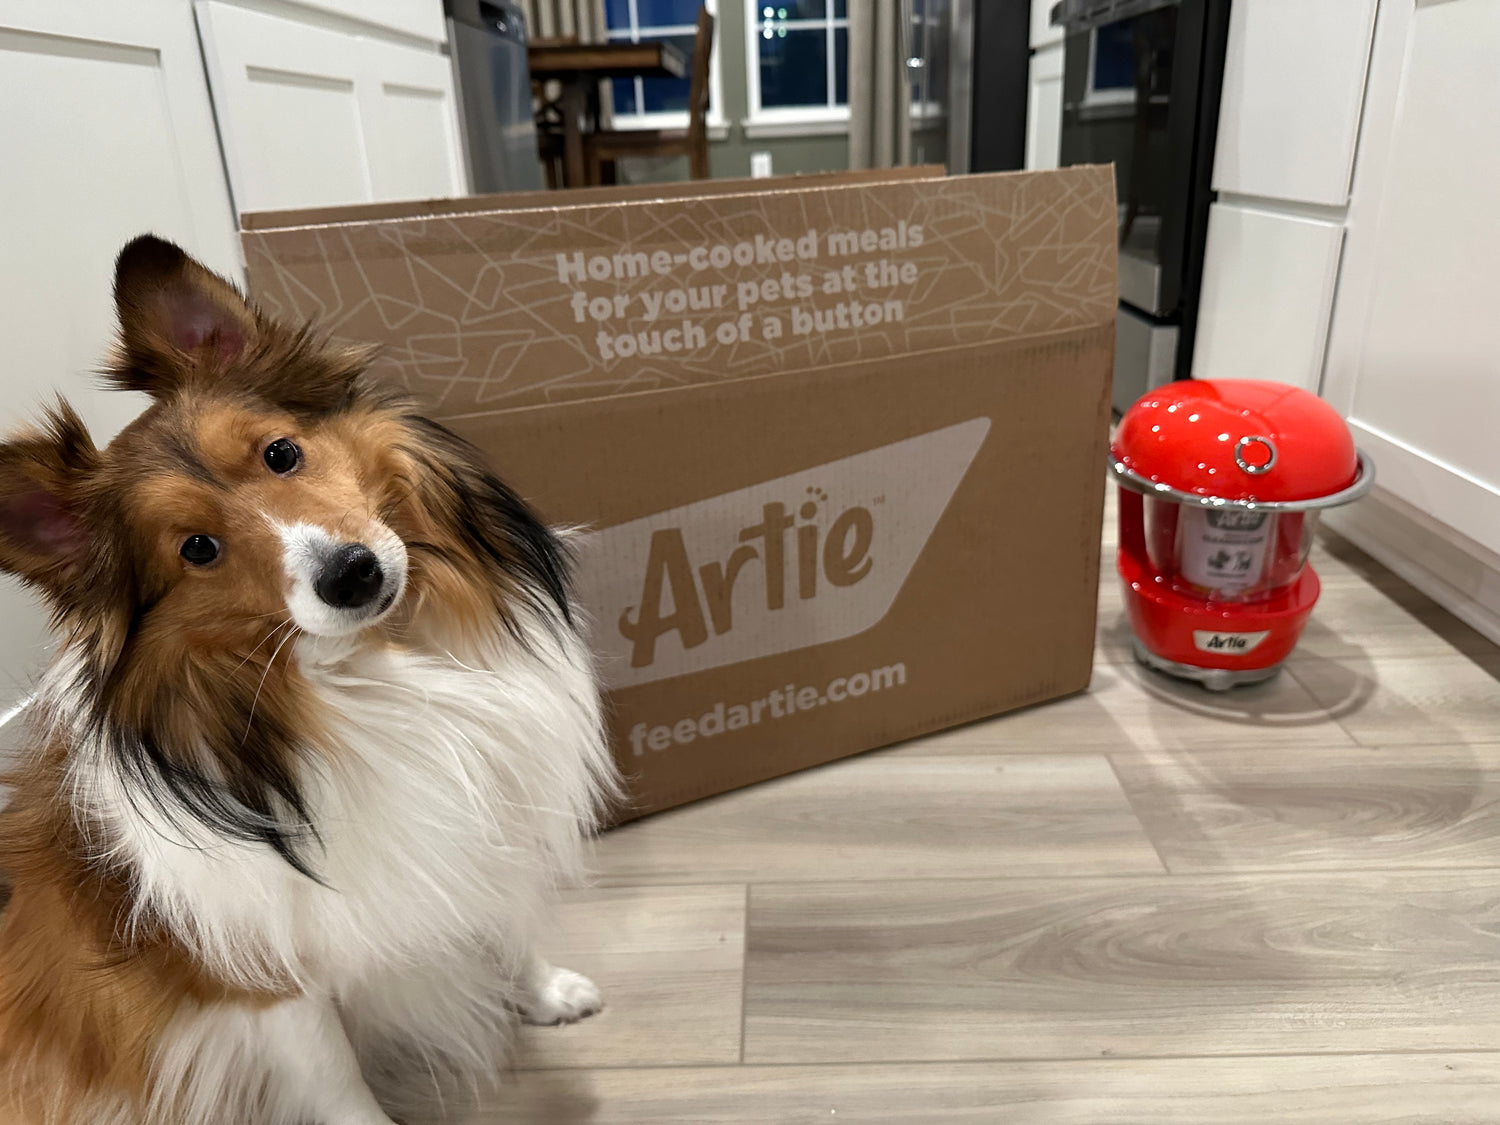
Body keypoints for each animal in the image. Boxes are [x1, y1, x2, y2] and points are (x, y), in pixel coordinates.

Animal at [0, 238, 615, 1125]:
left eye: (281, 452)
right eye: (196, 548)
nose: (352, 574)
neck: (369, 674)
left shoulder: (471, 830)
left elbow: (503, 922)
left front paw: (546, 991)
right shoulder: (268, 983)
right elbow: (343, 1085)